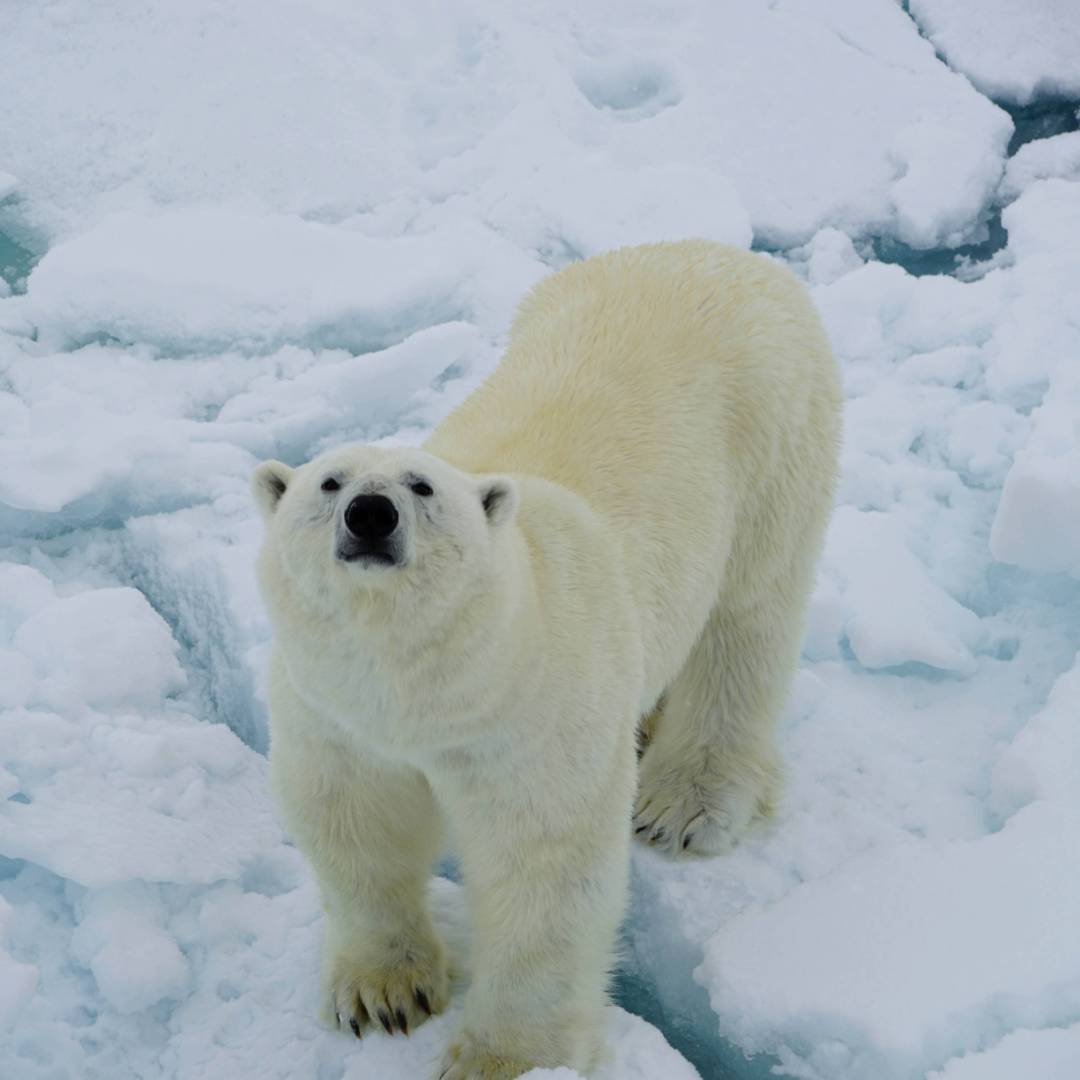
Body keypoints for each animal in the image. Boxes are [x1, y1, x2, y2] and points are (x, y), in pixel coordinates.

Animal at [251, 240, 841, 1079]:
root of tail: (718, 250)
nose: (370, 514)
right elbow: (354, 822)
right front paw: (381, 995)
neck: (425, 687)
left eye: (421, 485)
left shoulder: (537, 713)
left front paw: (505, 1059)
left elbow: (544, 863)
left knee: (747, 619)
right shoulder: (335, 713)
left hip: (774, 437)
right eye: (328, 481)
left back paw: (685, 803)